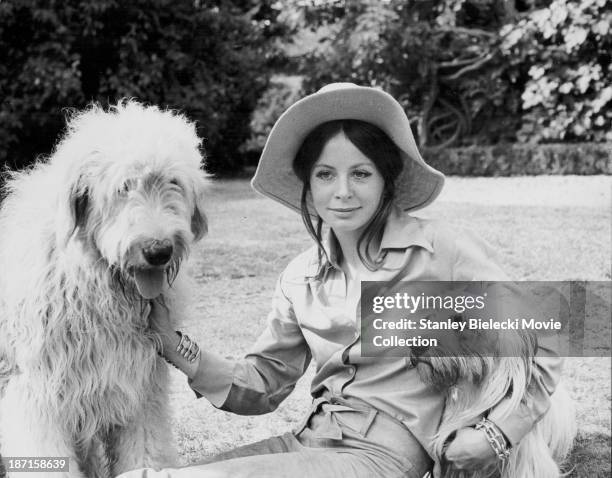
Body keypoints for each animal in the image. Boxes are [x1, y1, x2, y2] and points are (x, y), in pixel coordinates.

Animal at [0, 102, 208, 478]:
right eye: (123, 187)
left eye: (173, 182)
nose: (159, 251)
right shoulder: (36, 396)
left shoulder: (139, 391)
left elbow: (145, 451)